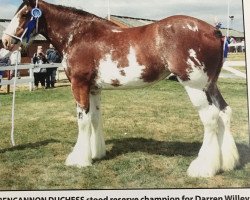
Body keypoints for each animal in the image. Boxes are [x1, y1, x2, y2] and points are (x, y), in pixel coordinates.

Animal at [2, 0, 240, 178]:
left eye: (25, 14)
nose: (6, 41)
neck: (79, 35)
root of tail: (214, 31)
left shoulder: (79, 85)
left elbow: (83, 121)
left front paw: (78, 159)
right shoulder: (94, 88)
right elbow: (95, 119)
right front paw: (96, 153)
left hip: (194, 85)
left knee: (210, 118)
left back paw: (203, 168)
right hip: (210, 85)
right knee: (224, 113)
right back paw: (225, 163)